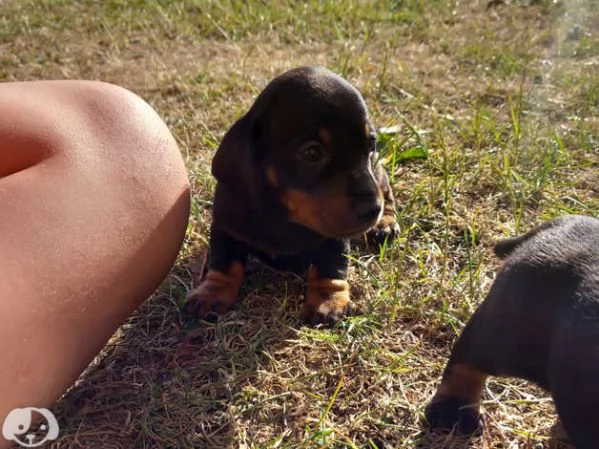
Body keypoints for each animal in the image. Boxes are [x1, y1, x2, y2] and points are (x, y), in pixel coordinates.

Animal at [186, 65, 398, 326]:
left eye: (371, 145)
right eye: (312, 152)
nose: (372, 209)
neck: (284, 214)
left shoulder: (333, 236)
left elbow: (331, 265)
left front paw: (327, 300)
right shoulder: (226, 225)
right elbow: (224, 263)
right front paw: (211, 293)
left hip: (378, 173)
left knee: (387, 192)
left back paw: (385, 224)